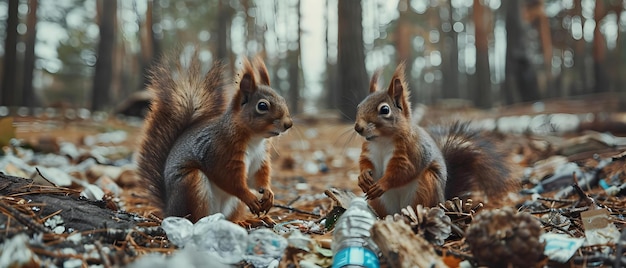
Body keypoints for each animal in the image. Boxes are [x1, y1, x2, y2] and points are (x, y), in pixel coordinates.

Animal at [135, 52, 292, 224]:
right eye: (262, 106)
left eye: (283, 99)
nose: (288, 124)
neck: (255, 139)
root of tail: (169, 210)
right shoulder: (221, 151)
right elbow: (229, 179)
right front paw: (249, 197)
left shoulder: (260, 158)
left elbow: (256, 178)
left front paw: (268, 193)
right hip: (192, 185)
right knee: (197, 218)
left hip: (233, 205)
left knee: (229, 220)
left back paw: (246, 221)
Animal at [354, 63, 520, 217]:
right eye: (359, 106)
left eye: (385, 110)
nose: (357, 127)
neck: (381, 141)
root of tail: (443, 200)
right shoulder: (368, 151)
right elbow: (365, 163)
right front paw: (362, 177)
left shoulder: (412, 152)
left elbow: (402, 172)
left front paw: (382, 184)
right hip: (381, 202)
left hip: (426, 186)